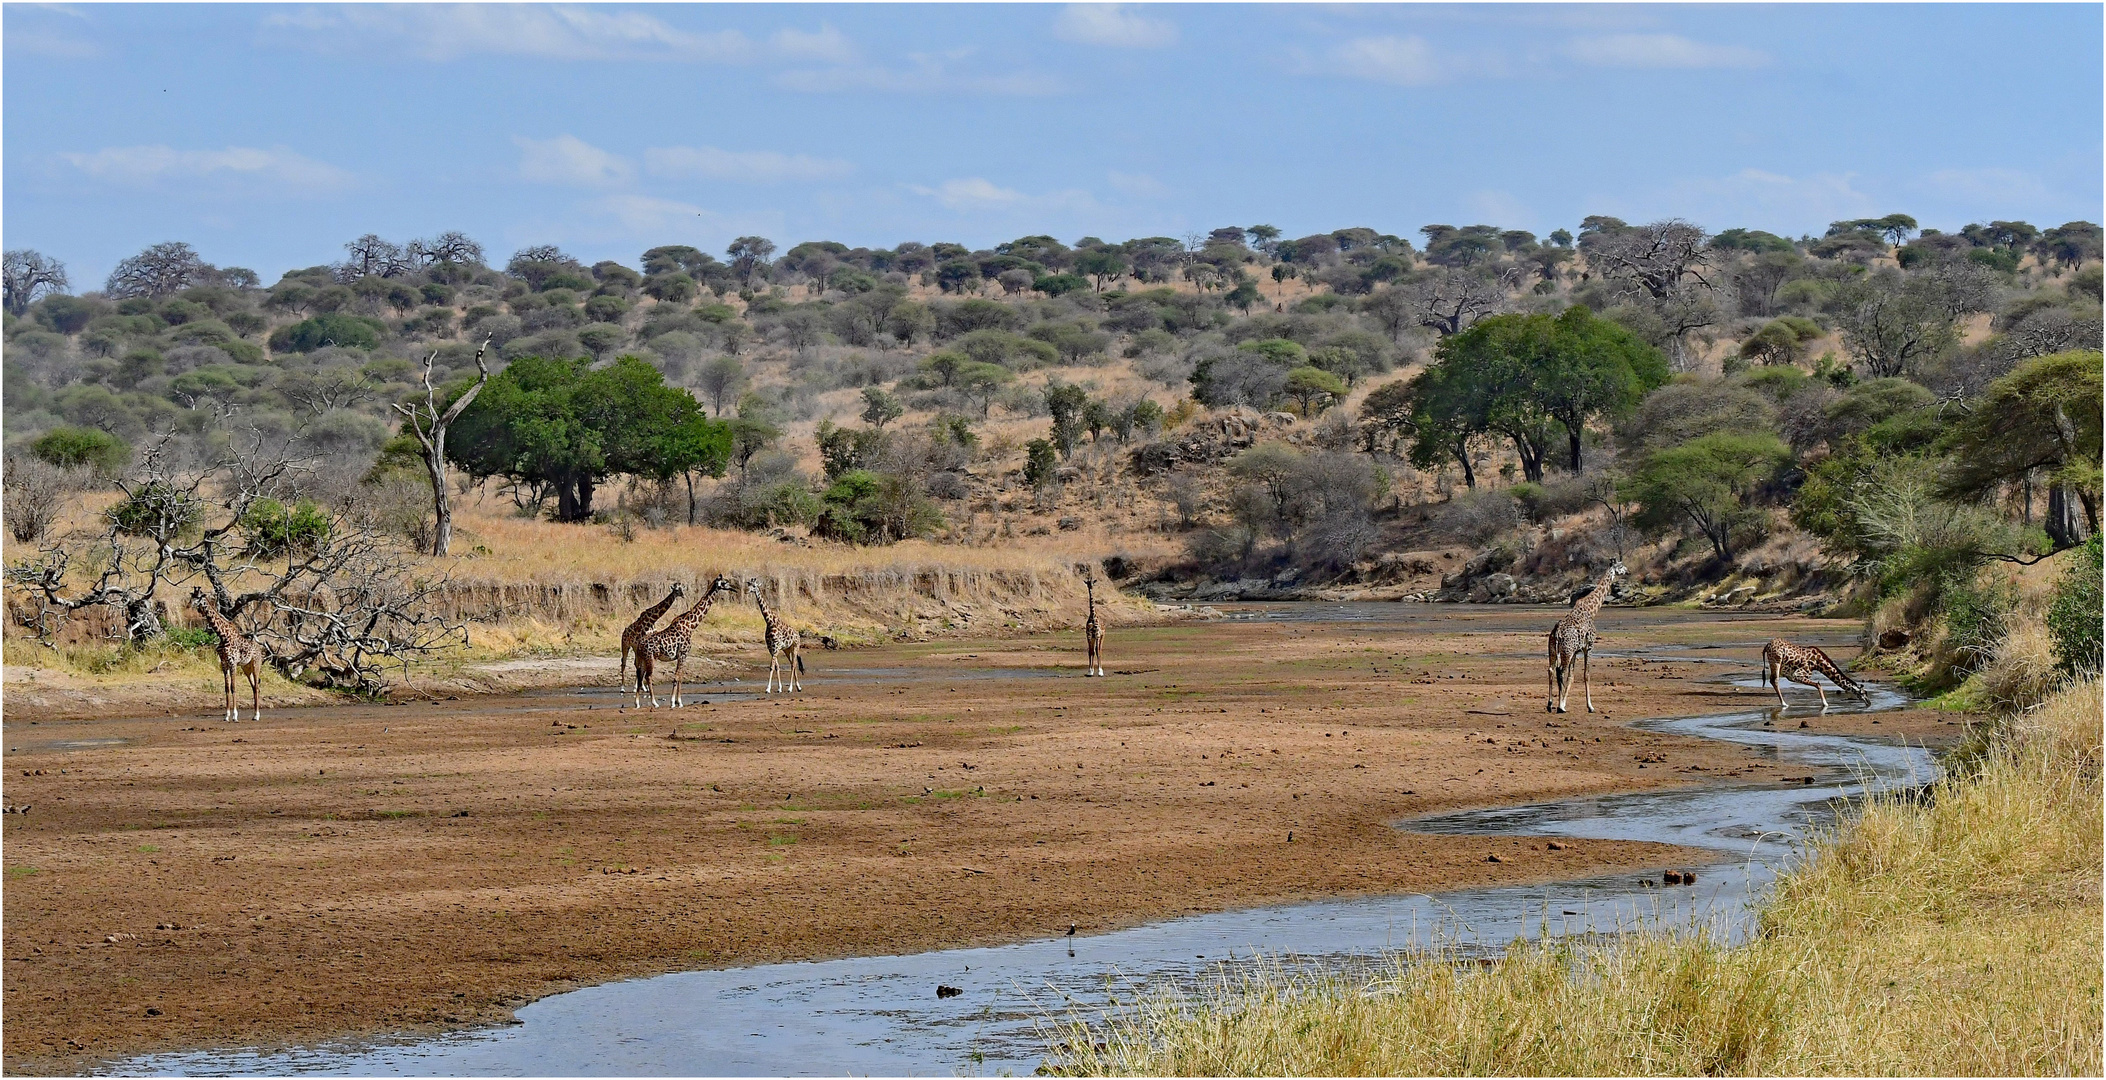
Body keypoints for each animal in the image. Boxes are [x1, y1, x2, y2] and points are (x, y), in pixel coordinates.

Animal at [191, 585, 265, 720]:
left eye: (199, 598)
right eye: (191, 597)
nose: (191, 605)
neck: (223, 635)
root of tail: (259, 649)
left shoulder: (233, 662)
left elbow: (233, 687)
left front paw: (235, 716)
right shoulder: (224, 663)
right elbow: (226, 688)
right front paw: (226, 715)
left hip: (256, 665)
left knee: (257, 687)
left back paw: (257, 715)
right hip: (246, 668)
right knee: (253, 687)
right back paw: (253, 715)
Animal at [627, 572, 737, 707]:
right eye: (725, 582)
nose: (734, 589)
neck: (691, 625)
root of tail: (640, 645)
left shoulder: (682, 655)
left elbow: (680, 676)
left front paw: (677, 701)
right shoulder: (683, 653)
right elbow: (677, 677)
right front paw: (675, 702)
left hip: (643, 658)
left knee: (640, 674)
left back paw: (637, 703)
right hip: (650, 658)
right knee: (648, 676)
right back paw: (654, 703)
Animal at [1550, 560, 1625, 711]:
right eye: (1620, 565)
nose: (1627, 570)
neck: (1591, 610)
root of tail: (1557, 632)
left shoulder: (1576, 652)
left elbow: (1572, 676)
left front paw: (1564, 702)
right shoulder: (1589, 647)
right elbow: (1586, 674)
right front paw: (1590, 706)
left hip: (1554, 650)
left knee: (1552, 670)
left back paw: (1551, 705)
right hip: (1566, 651)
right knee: (1560, 671)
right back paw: (1560, 707)